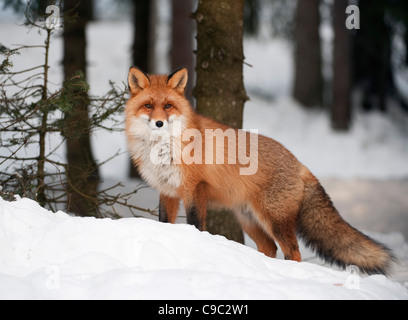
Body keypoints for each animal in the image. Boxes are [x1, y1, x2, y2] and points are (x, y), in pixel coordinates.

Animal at [125, 67, 392, 276]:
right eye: (148, 106)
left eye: (168, 106)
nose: (159, 122)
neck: (163, 149)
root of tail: (300, 164)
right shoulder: (167, 190)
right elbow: (164, 222)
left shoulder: (194, 188)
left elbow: (195, 223)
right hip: (250, 221)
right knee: (270, 249)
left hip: (274, 220)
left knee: (293, 251)